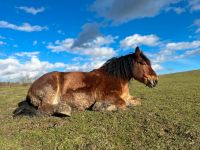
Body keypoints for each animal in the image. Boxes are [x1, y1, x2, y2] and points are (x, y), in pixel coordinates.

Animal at [13, 47, 159, 117]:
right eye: (142, 63)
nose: (155, 81)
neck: (116, 78)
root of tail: (30, 89)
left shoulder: (127, 96)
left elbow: (137, 101)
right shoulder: (108, 96)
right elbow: (122, 104)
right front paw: (100, 107)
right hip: (51, 90)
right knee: (44, 109)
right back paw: (64, 110)